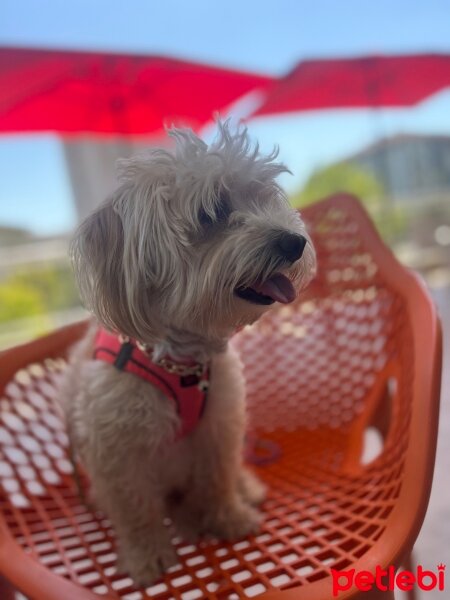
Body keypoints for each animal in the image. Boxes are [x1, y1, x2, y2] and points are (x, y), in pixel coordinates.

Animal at [61, 122, 316, 584]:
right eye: (211, 212)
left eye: (263, 197)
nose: (295, 242)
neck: (180, 361)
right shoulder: (115, 451)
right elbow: (135, 509)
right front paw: (147, 555)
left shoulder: (218, 425)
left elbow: (217, 478)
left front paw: (229, 517)